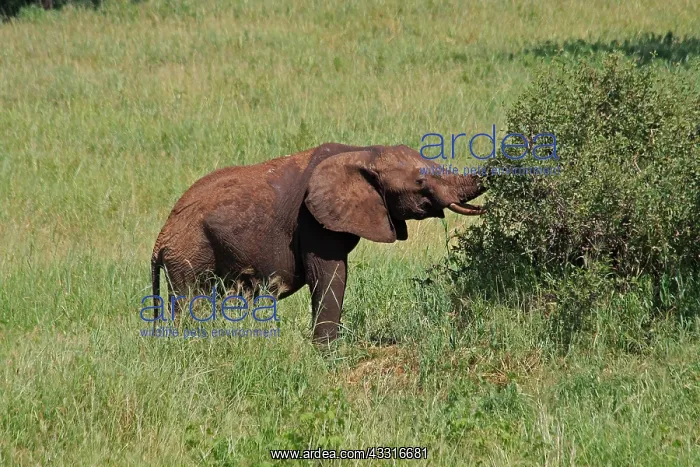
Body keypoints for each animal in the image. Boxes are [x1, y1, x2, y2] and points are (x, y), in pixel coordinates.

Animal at [150, 142, 487, 343]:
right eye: (420, 182)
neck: (362, 152)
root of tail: (161, 236)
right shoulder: (312, 220)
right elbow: (329, 275)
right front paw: (328, 352)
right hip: (190, 252)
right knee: (192, 300)